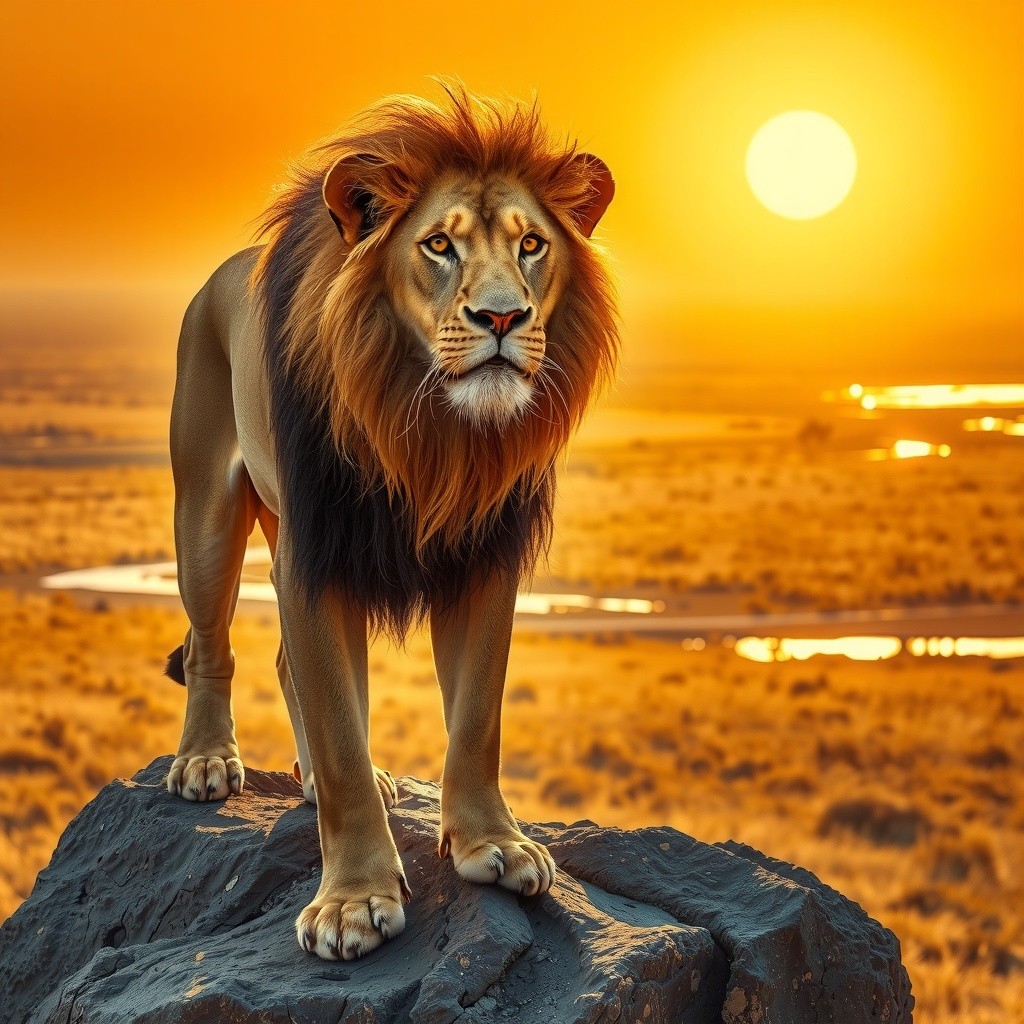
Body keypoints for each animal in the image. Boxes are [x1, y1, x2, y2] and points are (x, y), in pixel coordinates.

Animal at [163, 84, 618, 961]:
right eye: (439, 244)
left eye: (532, 245)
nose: (503, 319)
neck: (427, 429)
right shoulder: (314, 555)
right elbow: (341, 734)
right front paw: (351, 902)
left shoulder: (485, 554)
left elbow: (475, 717)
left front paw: (494, 845)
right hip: (205, 512)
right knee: (212, 646)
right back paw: (204, 762)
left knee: (285, 663)